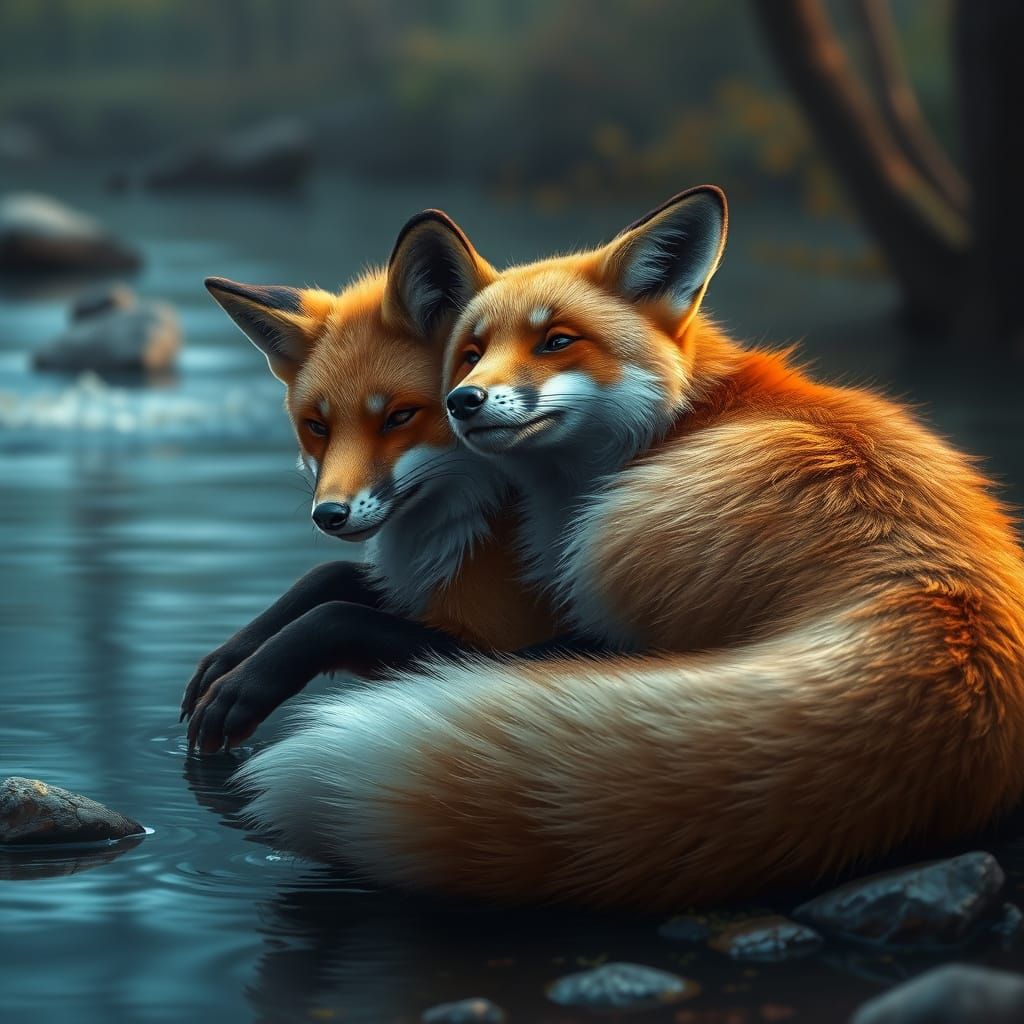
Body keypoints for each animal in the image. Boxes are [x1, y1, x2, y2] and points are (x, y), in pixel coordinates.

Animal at [181, 213, 570, 754]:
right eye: (317, 426)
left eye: (400, 417)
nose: (329, 515)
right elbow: (330, 576)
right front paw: (231, 654)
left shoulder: (518, 648)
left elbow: (337, 615)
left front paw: (241, 685)